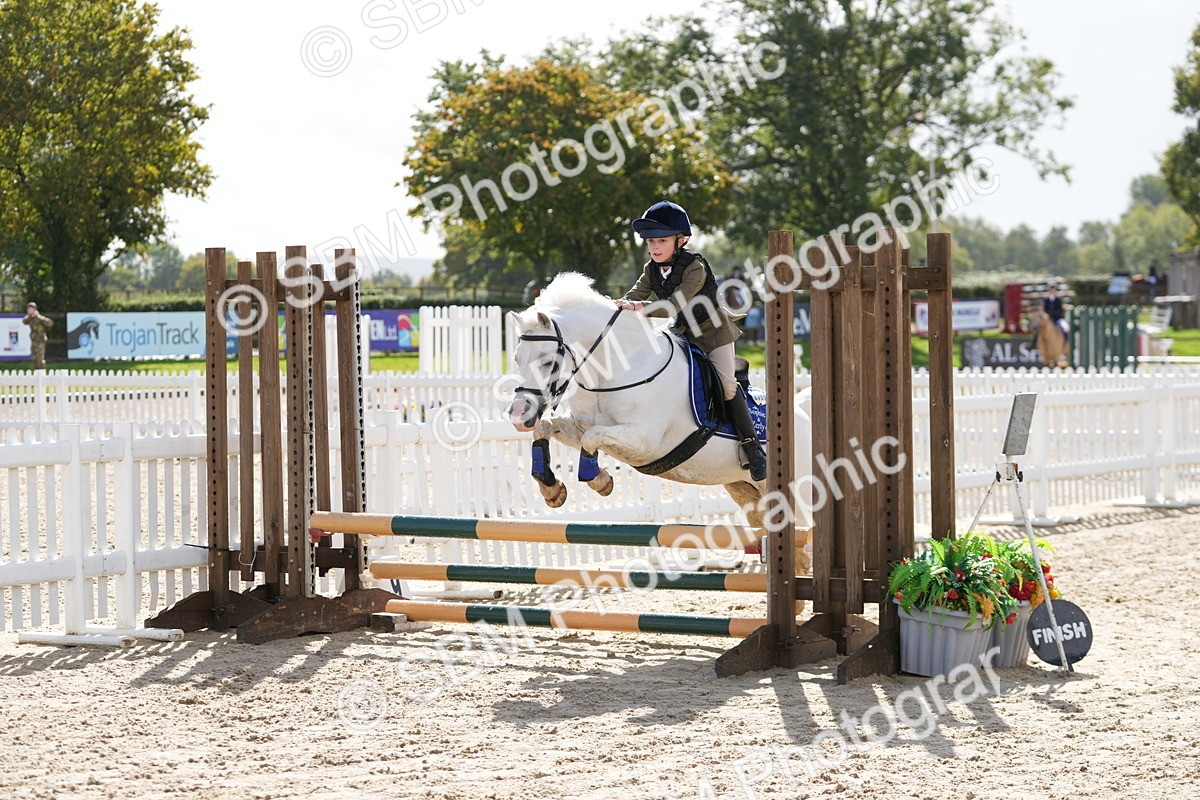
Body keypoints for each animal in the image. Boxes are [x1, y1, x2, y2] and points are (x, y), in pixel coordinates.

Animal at [505, 273, 814, 555]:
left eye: (548, 362)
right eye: (517, 358)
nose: (519, 416)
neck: (615, 370)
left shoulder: (645, 440)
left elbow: (592, 438)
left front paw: (599, 480)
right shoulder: (580, 426)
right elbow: (548, 430)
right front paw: (551, 488)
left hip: (796, 493)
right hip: (748, 492)